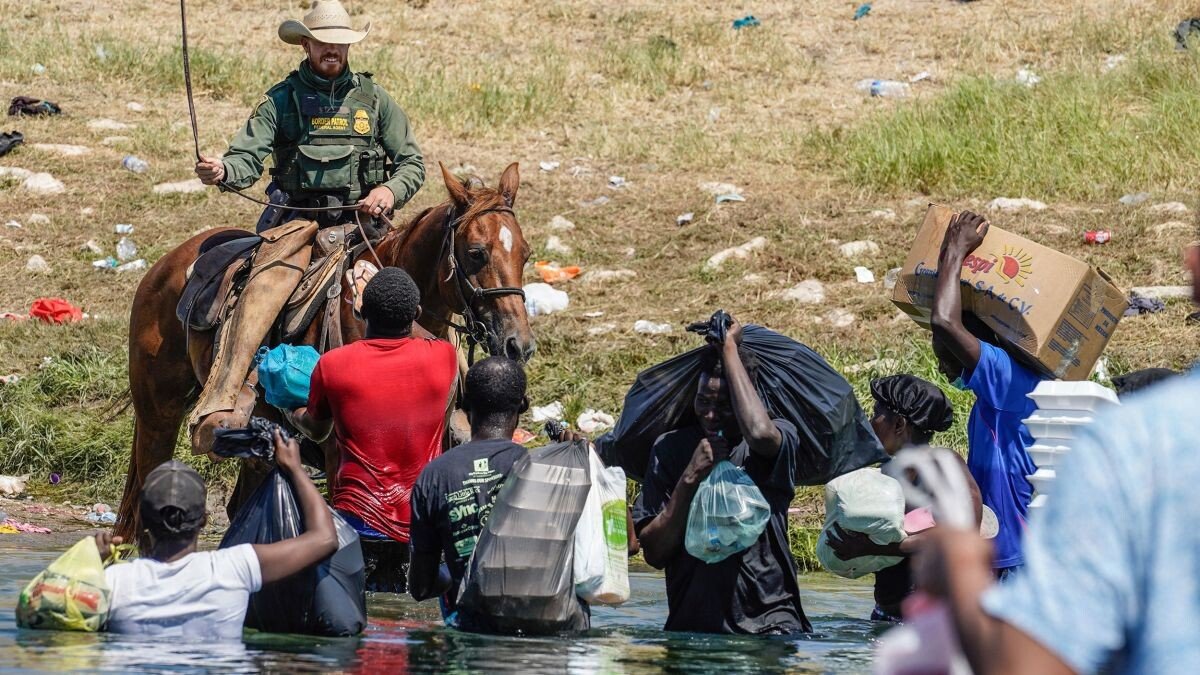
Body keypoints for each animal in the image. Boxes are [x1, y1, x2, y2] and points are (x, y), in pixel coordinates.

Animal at [117, 162, 535, 535]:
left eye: (526, 253)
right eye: (477, 252)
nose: (518, 343)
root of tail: (167, 263)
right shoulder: (340, 455)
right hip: (158, 416)